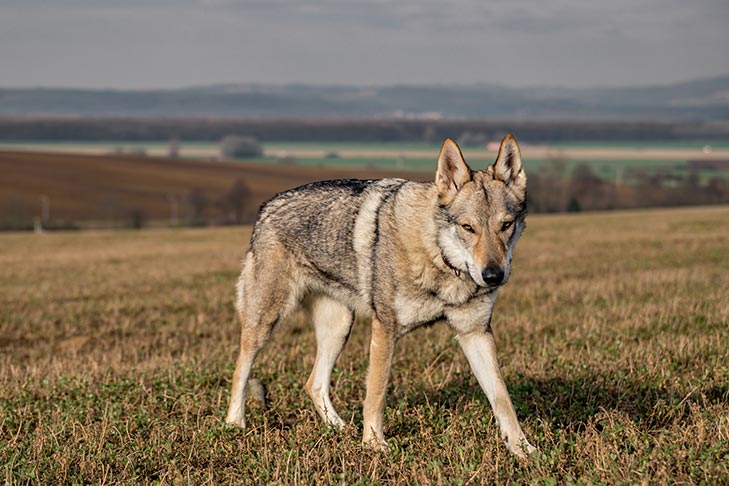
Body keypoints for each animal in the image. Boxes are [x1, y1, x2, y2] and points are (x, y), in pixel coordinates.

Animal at [225, 134, 536, 460]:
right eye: (468, 228)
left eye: (506, 225)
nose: (493, 275)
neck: (438, 258)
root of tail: (266, 207)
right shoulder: (385, 329)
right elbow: (376, 392)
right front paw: (374, 444)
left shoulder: (475, 332)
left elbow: (502, 397)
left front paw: (523, 449)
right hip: (265, 323)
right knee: (240, 369)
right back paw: (235, 424)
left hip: (339, 328)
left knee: (314, 383)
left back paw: (340, 428)